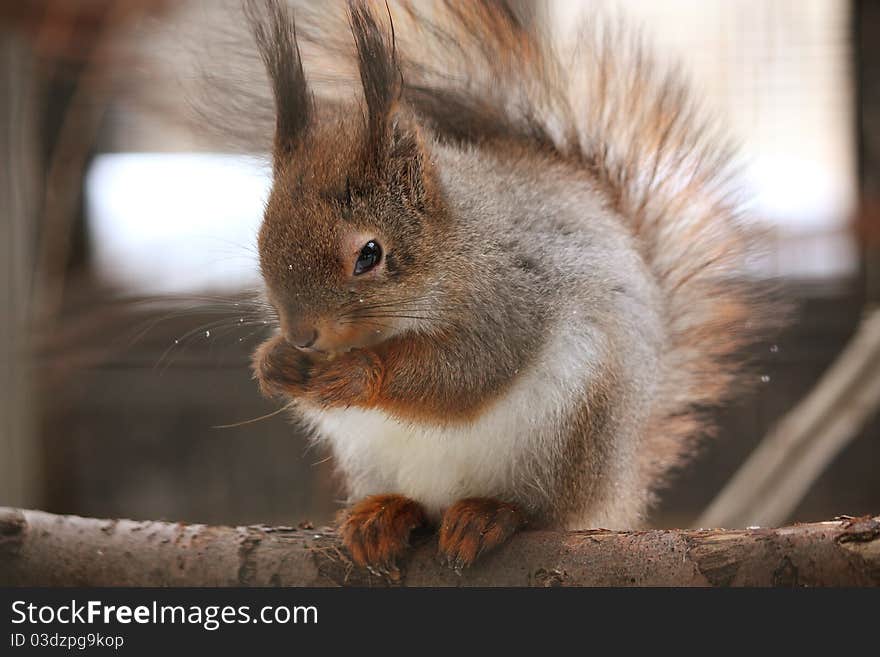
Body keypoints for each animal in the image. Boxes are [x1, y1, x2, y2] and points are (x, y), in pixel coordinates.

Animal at [242, 0, 768, 572]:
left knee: (542, 509)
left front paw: (359, 373)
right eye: (262, 236)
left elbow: (468, 371)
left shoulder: (512, 298)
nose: (301, 335)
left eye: (369, 255)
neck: (455, 246)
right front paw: (275, 362)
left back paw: (489, 515)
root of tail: (620, 483)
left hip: (566, 438)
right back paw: (383, 515)